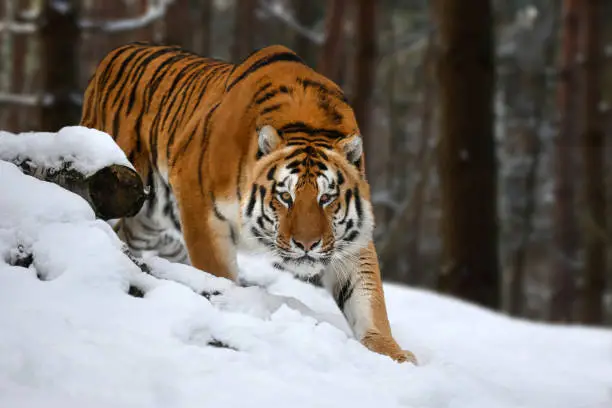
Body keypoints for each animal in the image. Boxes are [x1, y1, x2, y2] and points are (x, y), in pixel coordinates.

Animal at [80, 42, 416, 364]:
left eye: (326, 198)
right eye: (285, 196)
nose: (306, 245)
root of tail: (113, 53)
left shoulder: (350, 238)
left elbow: (367, 297)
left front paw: (393, 353)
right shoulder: (201, 208)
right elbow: (218, 272)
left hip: (144, 216)